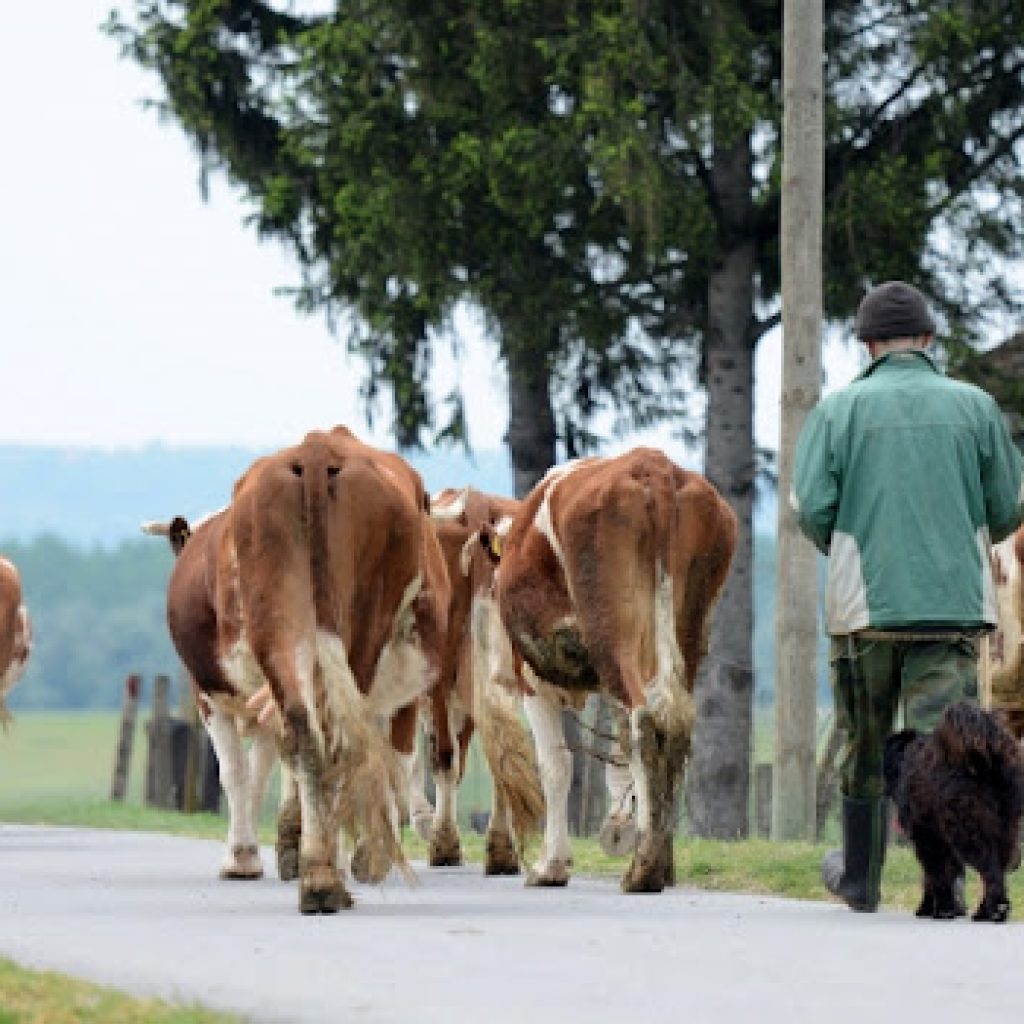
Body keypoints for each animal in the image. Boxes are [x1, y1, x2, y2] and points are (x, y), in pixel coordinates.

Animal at [487, 448, 737, 888]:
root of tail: (655, 467)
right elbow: (616, 764)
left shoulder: (534, 680)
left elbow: (556, 765)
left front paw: (551, 865)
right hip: (685, 635)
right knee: (671, 732)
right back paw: (660, 863)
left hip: (611, 638)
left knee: (644, 725)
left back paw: (643, 871)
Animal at [884, 700, 1019, 925]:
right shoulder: (941, 841)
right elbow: (945, 875)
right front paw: (945, 908)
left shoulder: (927, 840)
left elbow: (935, 877)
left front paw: (941, 910)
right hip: (1004, 830)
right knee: (998, 870)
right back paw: (985, 912)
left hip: (970, 833)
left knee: (990, 871)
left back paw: (995, 909)